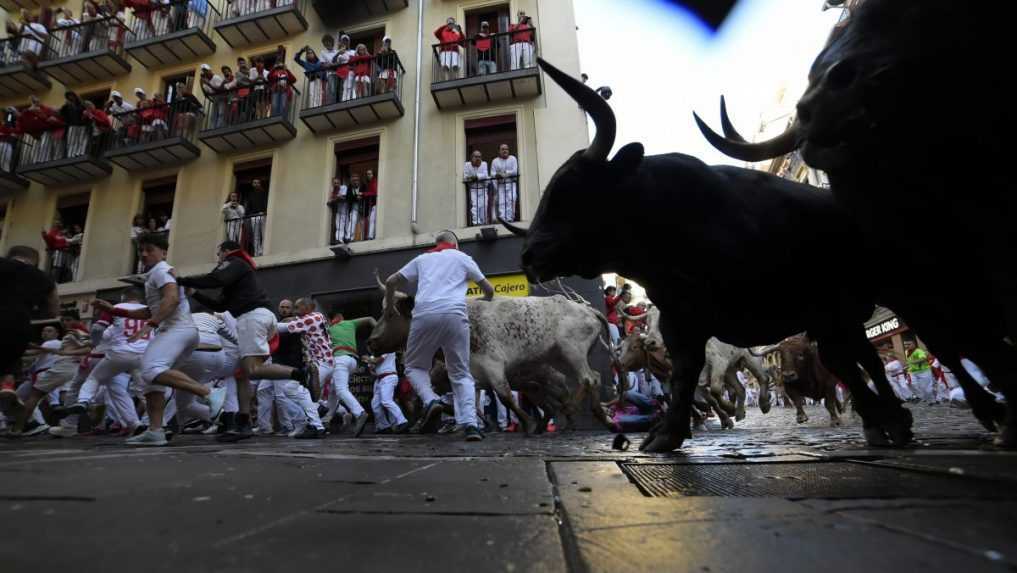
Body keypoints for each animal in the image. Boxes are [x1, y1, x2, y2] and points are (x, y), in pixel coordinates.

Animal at [504, 58, 911, 453]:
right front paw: (667, 434)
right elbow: (686, 374)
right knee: (852, 359)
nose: (528, 256)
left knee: (860, 359)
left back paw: (888, 419)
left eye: (569, 189)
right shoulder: (681, 316)